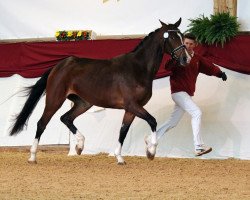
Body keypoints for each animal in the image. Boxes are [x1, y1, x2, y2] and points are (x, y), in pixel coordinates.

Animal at [10, 18, 189, 164]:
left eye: (181, 35)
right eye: (172, 37)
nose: (185, 58)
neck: (138, 68)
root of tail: (58, 66)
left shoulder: (131, 109)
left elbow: (123, 131)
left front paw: (119, 158)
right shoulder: (132, 105)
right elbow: (152, 121)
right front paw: (151, 151)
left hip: (83, 103)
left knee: (66, 118)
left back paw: (80, 145)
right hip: (55, 99)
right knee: (42, 123)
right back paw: (32, 157)